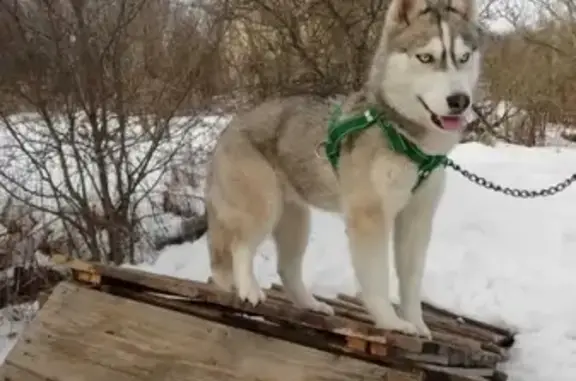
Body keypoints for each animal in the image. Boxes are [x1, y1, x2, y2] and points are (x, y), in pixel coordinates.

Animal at [202, 0, 482, 336]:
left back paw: (311, 305)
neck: (406, 138)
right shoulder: (370, 216)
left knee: (287, 268)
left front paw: (416, 323)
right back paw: (249, 289)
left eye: (463, 57)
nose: (460, 100)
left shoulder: (417, 218)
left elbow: (411, 281)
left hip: (296, 220)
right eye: (426, 57)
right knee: (240, 246)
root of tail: (228, 127)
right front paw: (391, 322)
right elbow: (377, 278)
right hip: (264, 206)